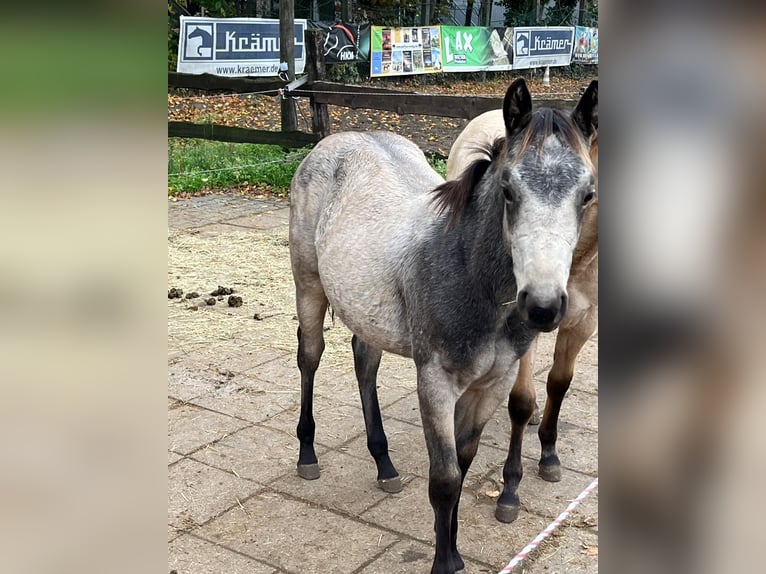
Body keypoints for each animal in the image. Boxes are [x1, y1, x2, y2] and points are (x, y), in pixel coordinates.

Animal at [292, 77, 596, 574]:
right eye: (508, 189)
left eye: (587, 194)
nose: (543, 306)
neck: (469, 273)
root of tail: (340, 139)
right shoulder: (435, 380)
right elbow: (445, 479)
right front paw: (445, 562)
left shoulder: (493, 383)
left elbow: (465, 464)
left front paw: (452, 549)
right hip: (308, 288)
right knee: (309, 357)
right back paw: (307, 454)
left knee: (364, 363)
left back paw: (385, 465)